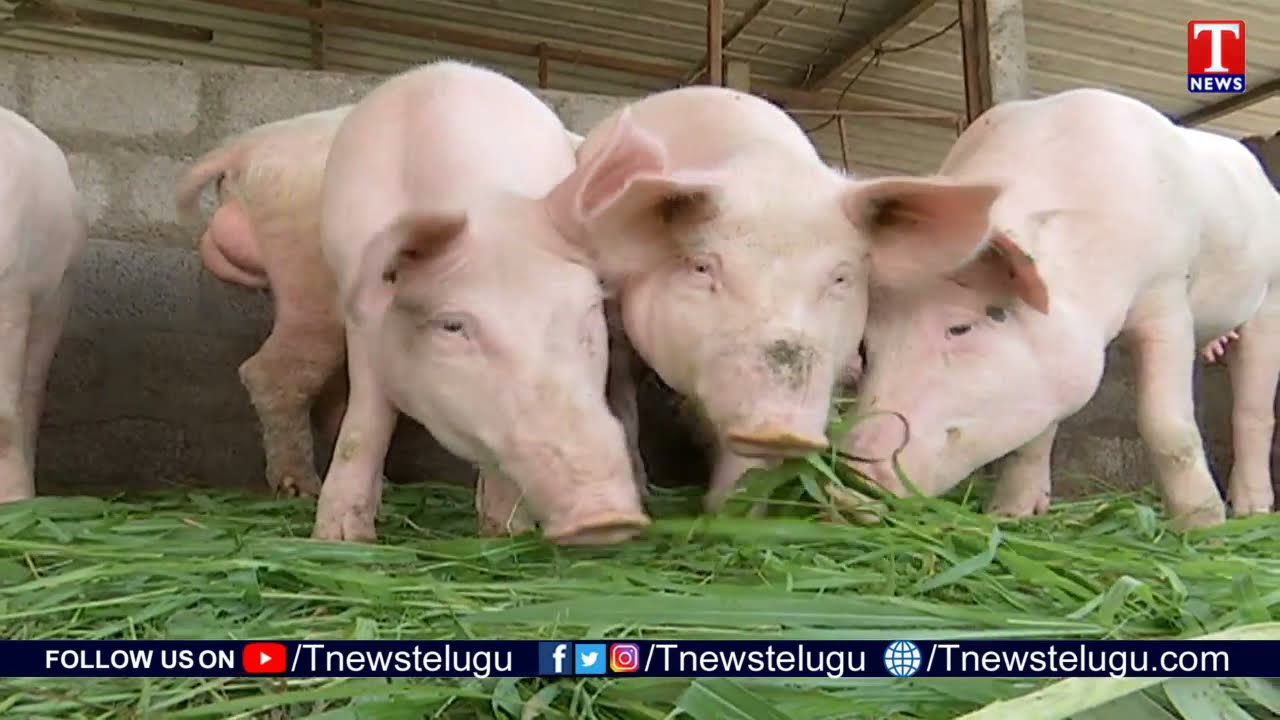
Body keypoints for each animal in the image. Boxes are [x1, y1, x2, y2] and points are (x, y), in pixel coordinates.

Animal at [314, 60, 651, 545]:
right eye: (453, 326)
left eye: (588, 313)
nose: (606, 516)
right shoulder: (357, 312)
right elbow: (366, 419)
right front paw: (341, 538)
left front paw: (506, 531)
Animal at [549, 85, 1003, 511]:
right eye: (702, 268)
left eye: (841, 277)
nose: (781, 427)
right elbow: (620, 401)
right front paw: (645, 496)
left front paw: (730, 513)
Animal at [840, 87, 1280, 531]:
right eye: (865, 345)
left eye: (960, 327)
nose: (851, 475)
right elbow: (1036, 436)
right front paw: (1010, 514)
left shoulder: (1166, 293)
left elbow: (1167, 424)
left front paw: (1204, 525)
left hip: (1269, 295)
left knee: (1253, 411)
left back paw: (1251, 512)